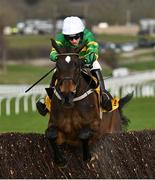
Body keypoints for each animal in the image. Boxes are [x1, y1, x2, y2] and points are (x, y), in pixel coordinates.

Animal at [45, 38, 133, 167]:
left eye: (76, 65)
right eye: (57, 65)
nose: (67, 95)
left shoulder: (96, 126)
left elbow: (84, 134)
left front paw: (89, 157)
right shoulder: (56, 125)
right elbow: (50, 134)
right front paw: (60, 159)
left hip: (114, 129)